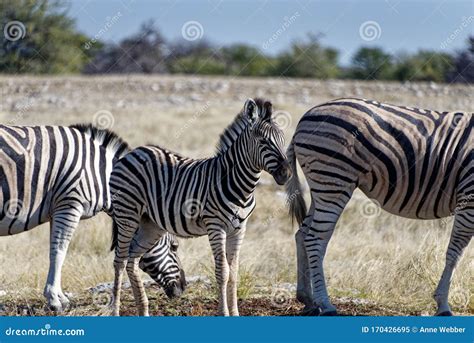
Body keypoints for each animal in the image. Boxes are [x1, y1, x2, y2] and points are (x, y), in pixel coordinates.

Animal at [0, 124, 184, 312]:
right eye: (174, 246)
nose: (182, 288)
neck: (101, 174)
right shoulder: (70, 205)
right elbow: (60, 251)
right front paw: (54, 300)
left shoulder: (57, 209)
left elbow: (54, 250)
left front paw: (60, 296)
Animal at [109, 97, 290, 318]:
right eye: (263, 141)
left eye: (283, 140)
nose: (286, 173)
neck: (239, 185)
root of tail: (135, 152)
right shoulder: (216, 226)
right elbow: (223, 272)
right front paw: (224, 313)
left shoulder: (239, 229)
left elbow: (234, 272)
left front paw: (235, 313)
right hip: (127, 214)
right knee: (119, 261)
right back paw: (116, 311)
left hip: (150, 224)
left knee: (132, 261)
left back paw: (143, 309)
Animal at [286, 97, 472, 318]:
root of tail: (305, 117)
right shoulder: (469, 199)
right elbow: (455, 253)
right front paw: (443, 304)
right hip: (334, 178)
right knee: (315, 238)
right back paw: (325, 304)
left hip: (321, 185)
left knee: (302, 234)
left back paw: (307, 299)